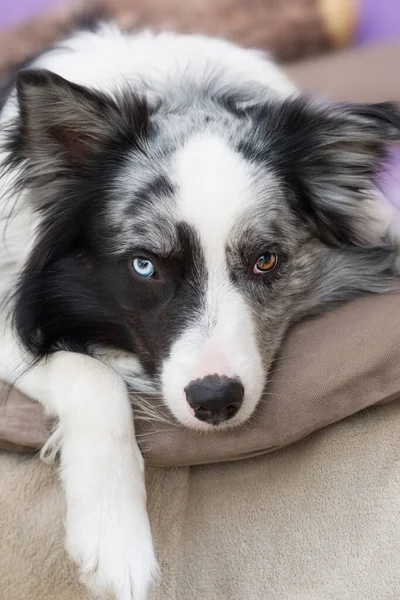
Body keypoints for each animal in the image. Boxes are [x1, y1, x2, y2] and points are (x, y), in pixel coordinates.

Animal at [0, 18, 398, 600]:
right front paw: (116, 540)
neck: (181, 93)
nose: (215, 402)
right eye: (144, 265)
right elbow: (94, 377)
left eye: (265, 259)